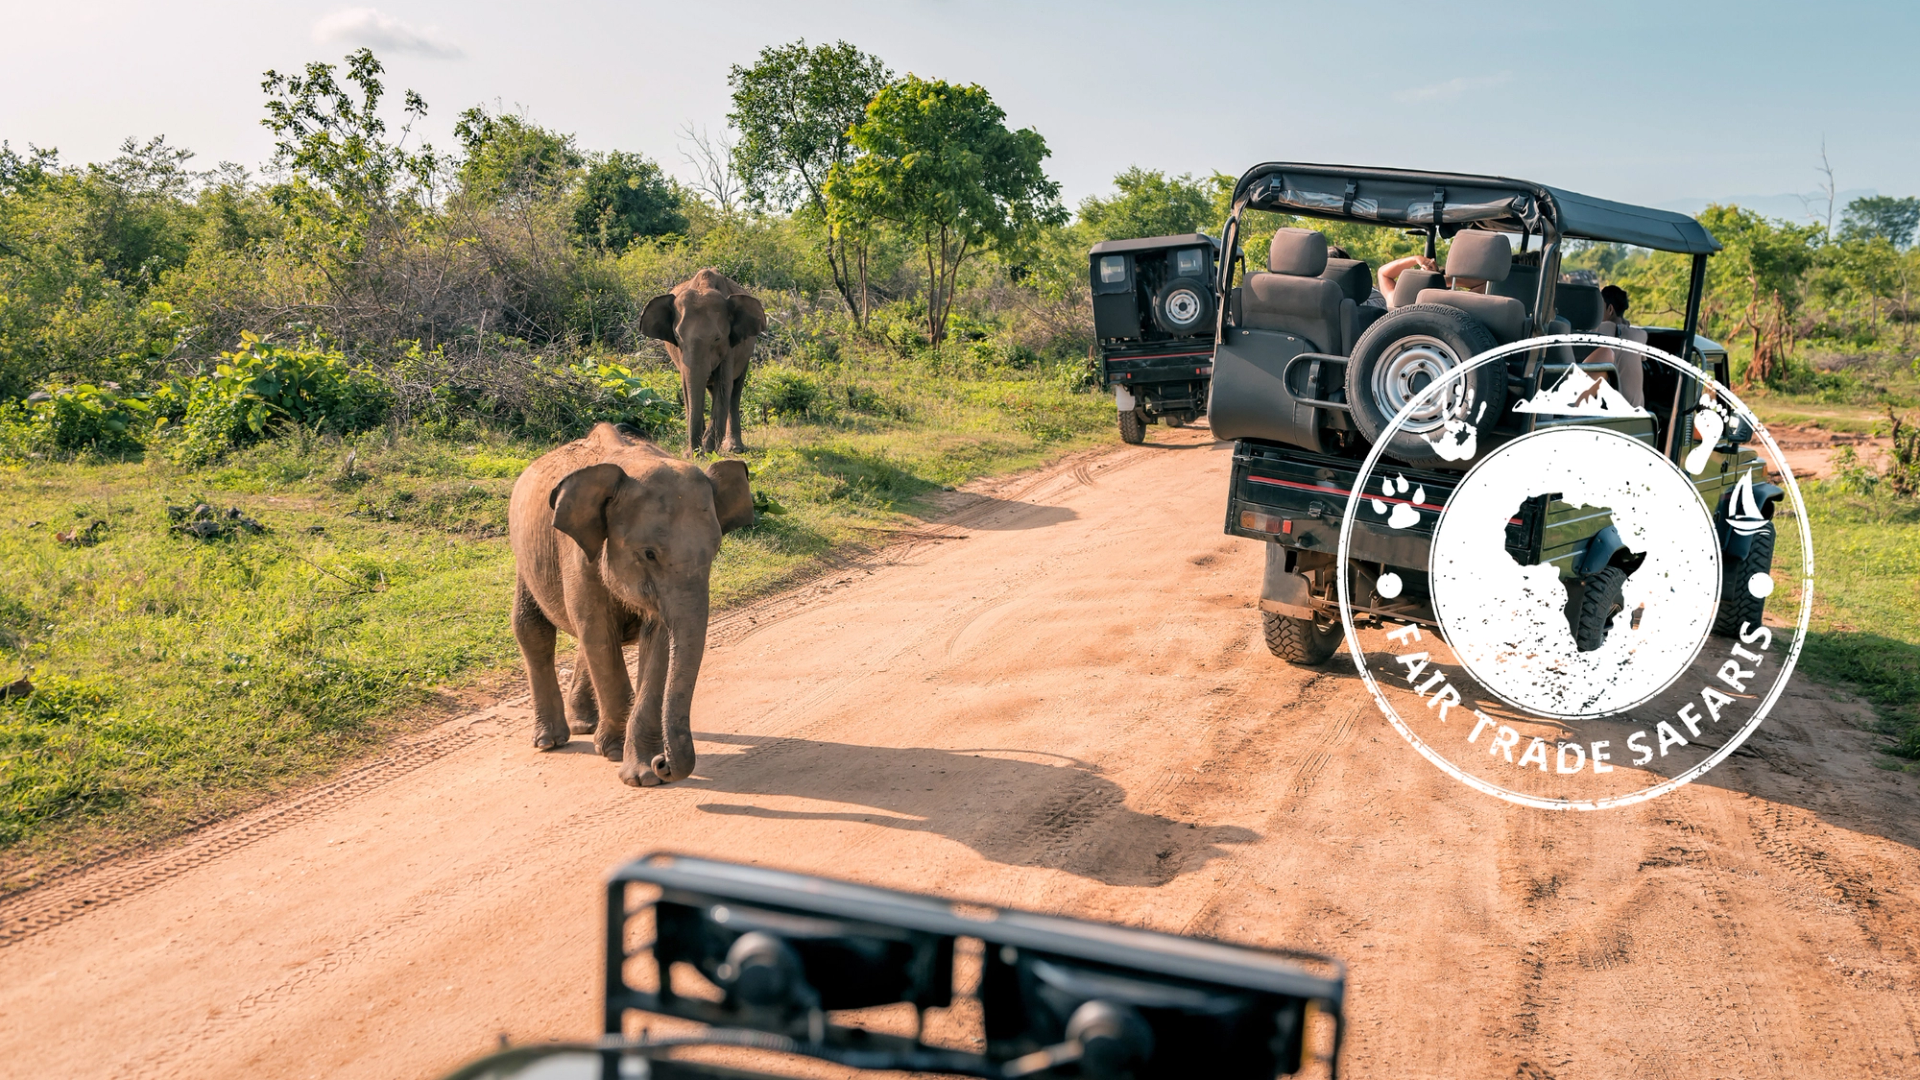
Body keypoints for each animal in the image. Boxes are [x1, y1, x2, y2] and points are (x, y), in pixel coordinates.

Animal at [508, 422, 754, 786]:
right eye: (648, 553)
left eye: (715, 552)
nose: (664, 763)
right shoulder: (577, 555)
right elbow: (598, 633)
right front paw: (613, 751)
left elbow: (658, 641)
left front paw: (641, 774)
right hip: (525, 556)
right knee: (533, 629)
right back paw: (551, 741)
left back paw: (584, 725)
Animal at [641, 268, 767, 455]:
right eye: (677, 336)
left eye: (717, 338)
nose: (694, 452)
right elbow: (688, 387)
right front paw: (695, 452)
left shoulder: (729, 346)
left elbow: (724, 386)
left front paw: (707, 450)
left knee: (734, 391)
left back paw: (734, 448)